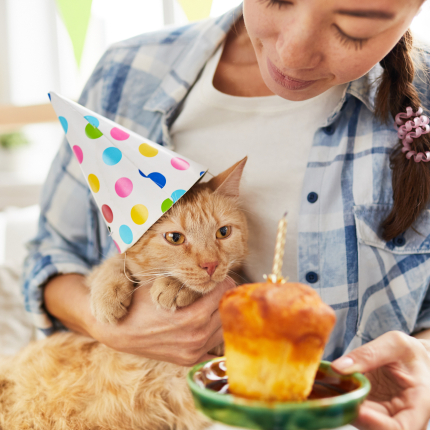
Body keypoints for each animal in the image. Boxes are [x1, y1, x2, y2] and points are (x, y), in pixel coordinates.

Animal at [0, 158, 249, 430]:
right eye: (175, 238)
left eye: (223, 232)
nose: (210, 265)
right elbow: (114, 262)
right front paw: (108, 294)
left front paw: (177, 285)